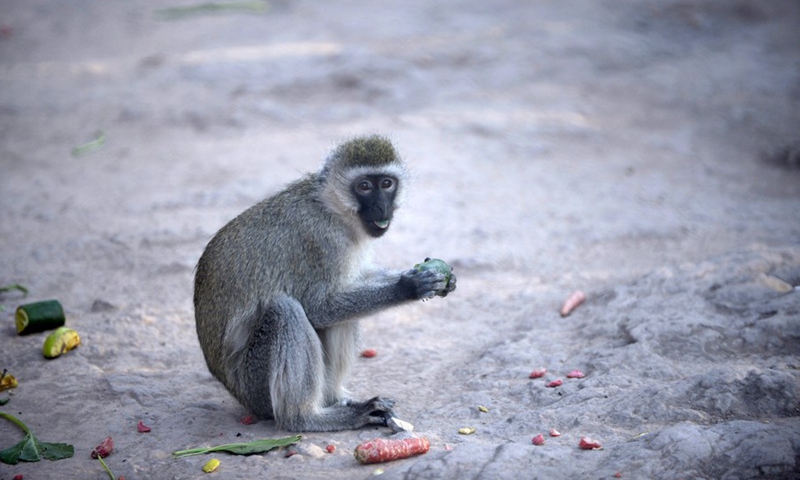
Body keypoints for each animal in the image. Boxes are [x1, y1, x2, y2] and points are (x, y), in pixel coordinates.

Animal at [193, 135, 456, 432]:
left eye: (387, 184)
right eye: (364, 186)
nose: (382, 207)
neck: (331, 207)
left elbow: (353, 284)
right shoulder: (322, 240)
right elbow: (319, 307)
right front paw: (408, 287)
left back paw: (335, 400)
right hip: (254, 387)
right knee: (286, 310)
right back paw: (308, 418)